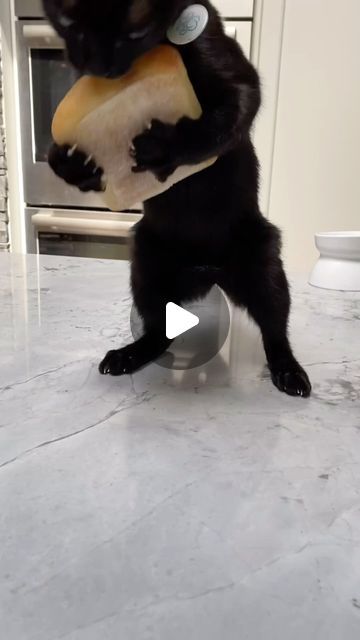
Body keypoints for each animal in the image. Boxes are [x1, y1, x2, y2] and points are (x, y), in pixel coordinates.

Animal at [43, 0, 310, 398]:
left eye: (137, 29)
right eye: (66, 21)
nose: (102, 69)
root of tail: (206, 272)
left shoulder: (237, 81)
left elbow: (215, 126)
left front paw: (163, 147)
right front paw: (72, 164)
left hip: (265, 269)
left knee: (275, 330)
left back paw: (289, 371)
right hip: (145, 268)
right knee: (159, 333)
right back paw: (128, 356)